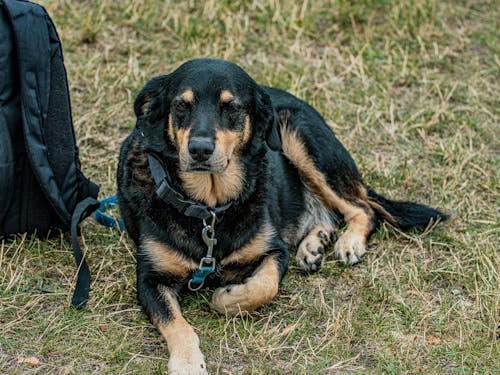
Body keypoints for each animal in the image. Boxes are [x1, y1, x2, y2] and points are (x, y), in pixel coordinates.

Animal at [117, 58, 450, 374]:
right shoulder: (150, 279)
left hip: (302, 140)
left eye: (231, 107)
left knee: (363, 208)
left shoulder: (274, 250)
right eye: (181, 105)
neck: (209, 209)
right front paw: (187, 363)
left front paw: (227, 298)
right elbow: (178, 325)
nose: (199, 149)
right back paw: (314, 245)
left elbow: (265, 286)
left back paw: (348, 242)